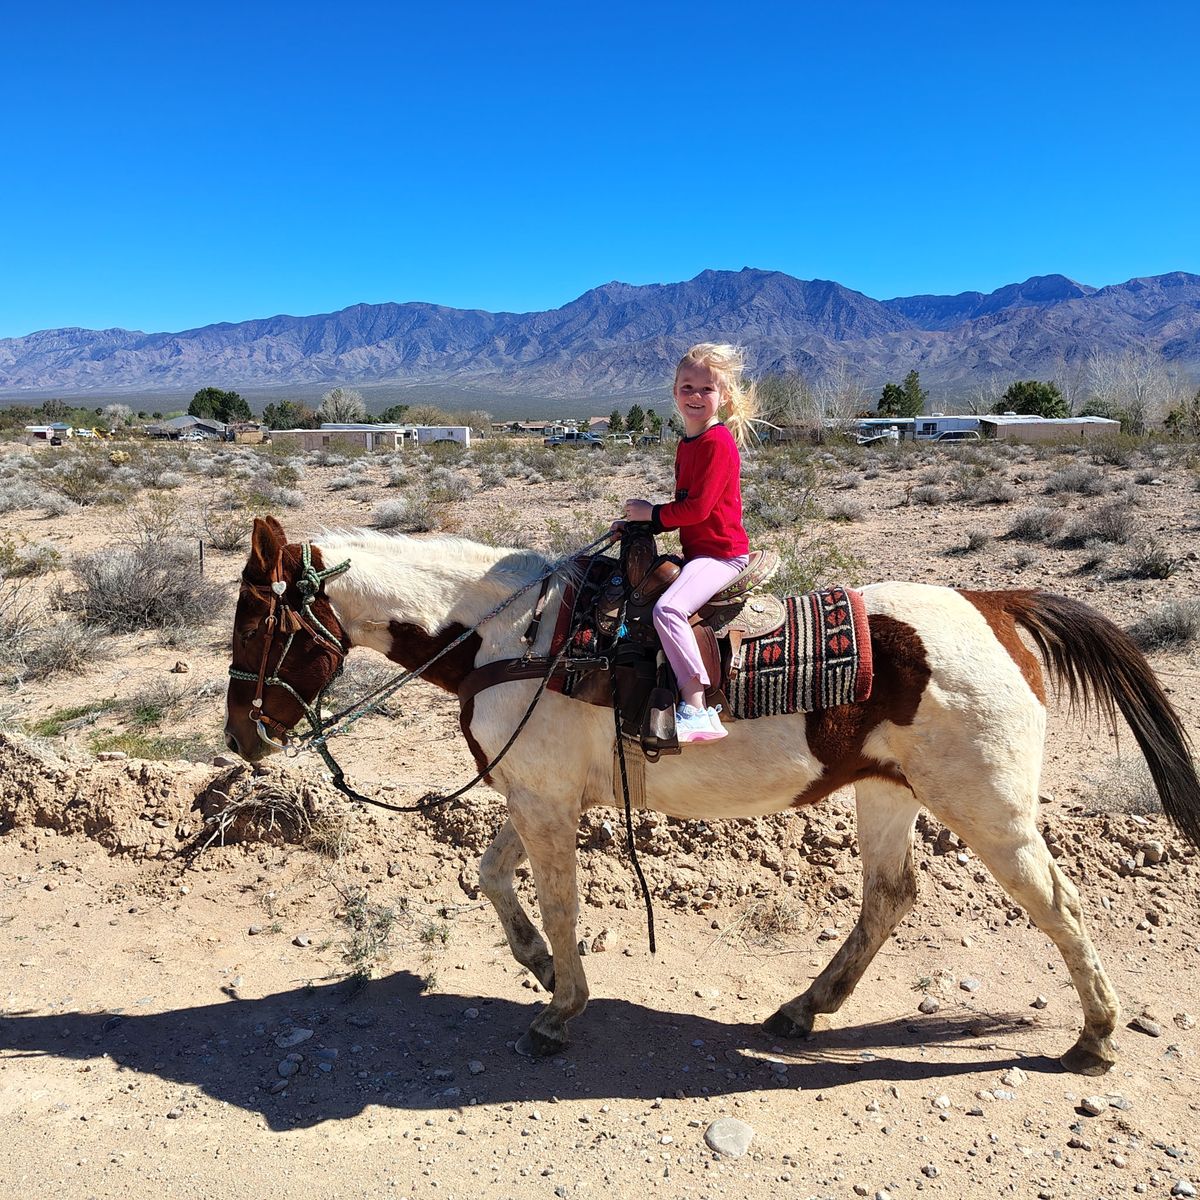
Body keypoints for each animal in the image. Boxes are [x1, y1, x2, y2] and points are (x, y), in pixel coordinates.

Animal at [223, 516, 1200, 1075]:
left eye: (259, 621)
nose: (241, 737)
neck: (514, 636)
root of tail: (997, 604)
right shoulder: (536, 794)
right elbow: (492, 878)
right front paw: (539, 968)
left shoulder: (544, 803)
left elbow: (559, 901)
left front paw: (559, 1011)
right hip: (888, 793)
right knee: (889, 896)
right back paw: (803, 1010)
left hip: (991, 812)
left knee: (1059, 905)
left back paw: (1096, 1038)